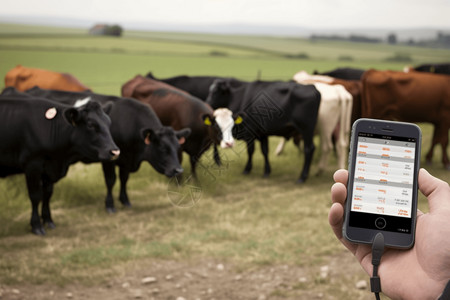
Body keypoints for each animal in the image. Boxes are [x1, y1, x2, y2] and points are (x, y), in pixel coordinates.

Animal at [0, 95, 119, 236]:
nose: (115, 151)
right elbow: (35, 196)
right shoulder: (32, 165)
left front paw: (48, 220)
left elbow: (47, 194)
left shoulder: (48, 170)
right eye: (90, 125)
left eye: (109, 123)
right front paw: (36, 225)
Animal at [20, 86, 192, 213]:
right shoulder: (109, 158)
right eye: (162, 148)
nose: (178, 170)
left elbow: (124, 179)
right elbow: (111, 180)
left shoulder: (125, 160)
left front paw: (125, 200)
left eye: (178, 146)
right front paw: (110, 205)